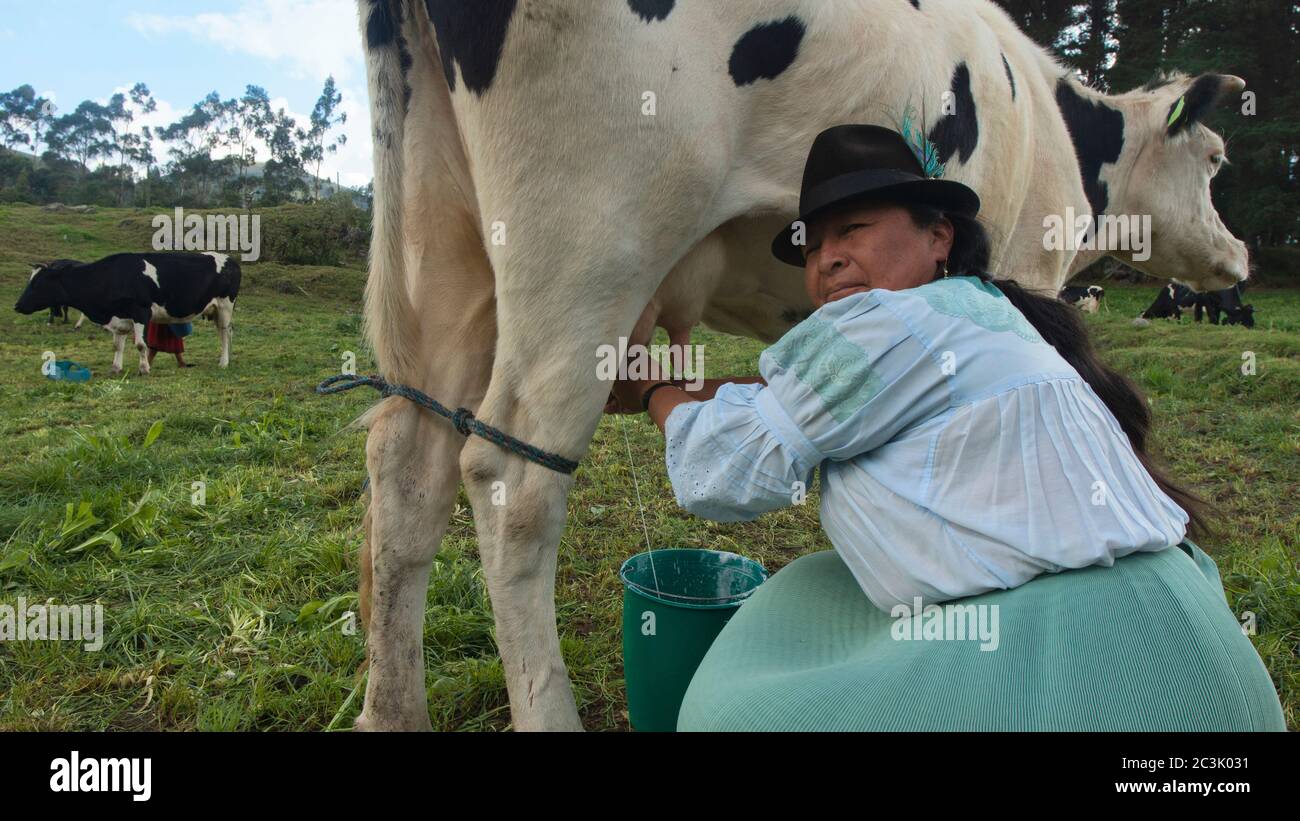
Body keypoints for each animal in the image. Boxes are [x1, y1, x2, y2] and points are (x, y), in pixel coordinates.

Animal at [14, 252, 239, 374]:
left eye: (37, 283)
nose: (17, 306)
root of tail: (230, 259)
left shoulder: (140, 311)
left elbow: (140, 344)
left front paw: (144, 369)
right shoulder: (118, 317)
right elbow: (117, 345)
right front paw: (116, 368)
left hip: (225, 307)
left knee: (224, 334)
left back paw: (224, 362)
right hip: (216, 310)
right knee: (225, 333)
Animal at [351, 0, 1252, 731]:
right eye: (1214, 160)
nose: (1238, 255)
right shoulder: (1023, 257)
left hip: (447, 244)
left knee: (409, 458)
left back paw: (392, 712)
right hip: (591, 235)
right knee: (512, 473)